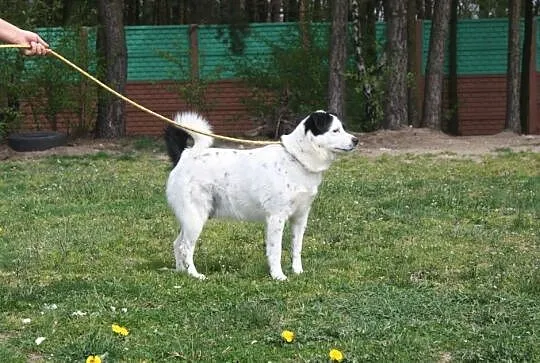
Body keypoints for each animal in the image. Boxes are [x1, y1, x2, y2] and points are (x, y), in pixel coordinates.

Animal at [165, 111, 358, 282]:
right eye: (335, 130)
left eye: (343, 128)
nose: (356, 140)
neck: (297, 158)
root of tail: (185, 155)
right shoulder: (276, 218)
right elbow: (275, 250)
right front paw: (278, 276)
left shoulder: (300, 218)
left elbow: (297, 248)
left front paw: (298, 272)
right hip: (195, 217)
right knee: (185, 247)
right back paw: (194, 275)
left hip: (190, 218)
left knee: (177, 244)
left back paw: (181, 272)